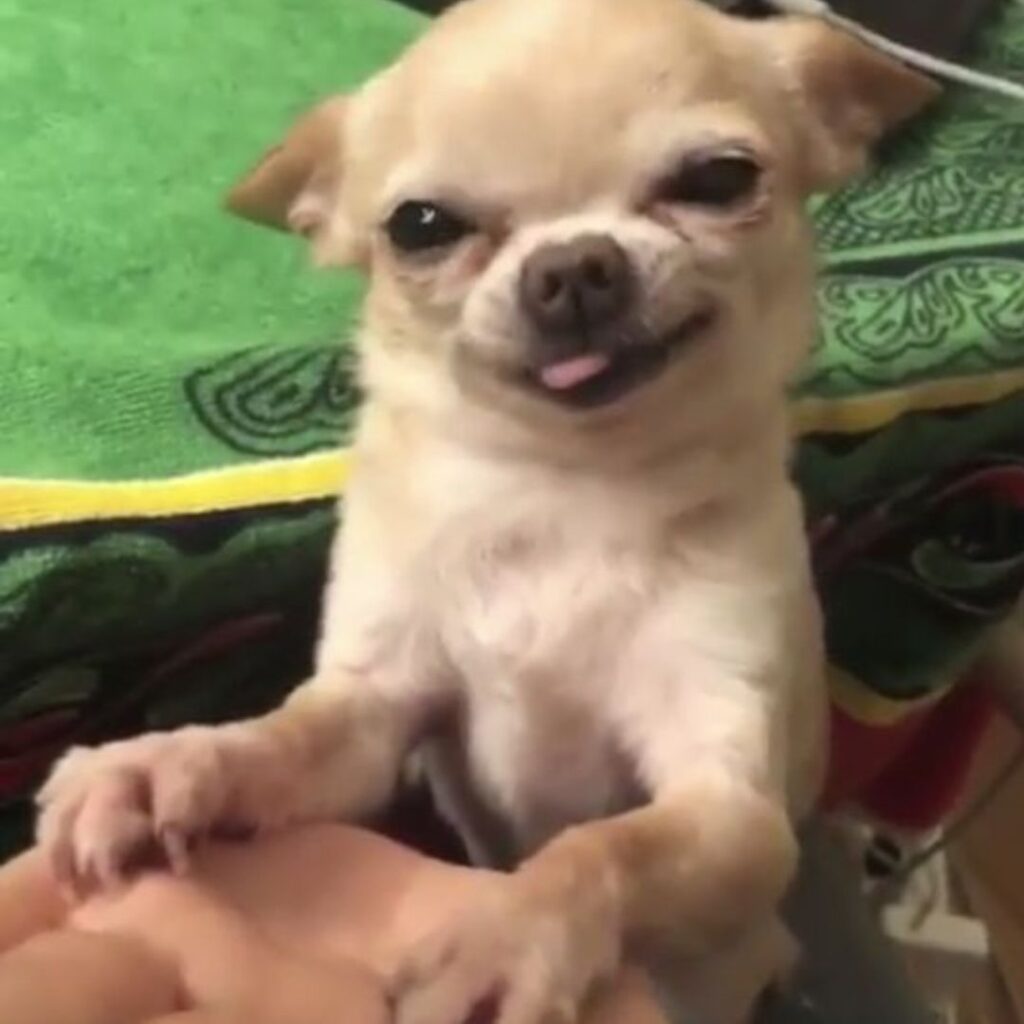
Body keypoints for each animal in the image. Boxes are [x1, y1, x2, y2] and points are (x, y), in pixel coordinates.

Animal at [37, 2, 937, 1024]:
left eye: (718, 179)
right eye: (420, 226)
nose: (575, 265)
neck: (561, 490)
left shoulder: (729, 806)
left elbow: (607, 847)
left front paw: (511, 936)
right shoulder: (375, 711)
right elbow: (283, 737)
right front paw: (170, 765)